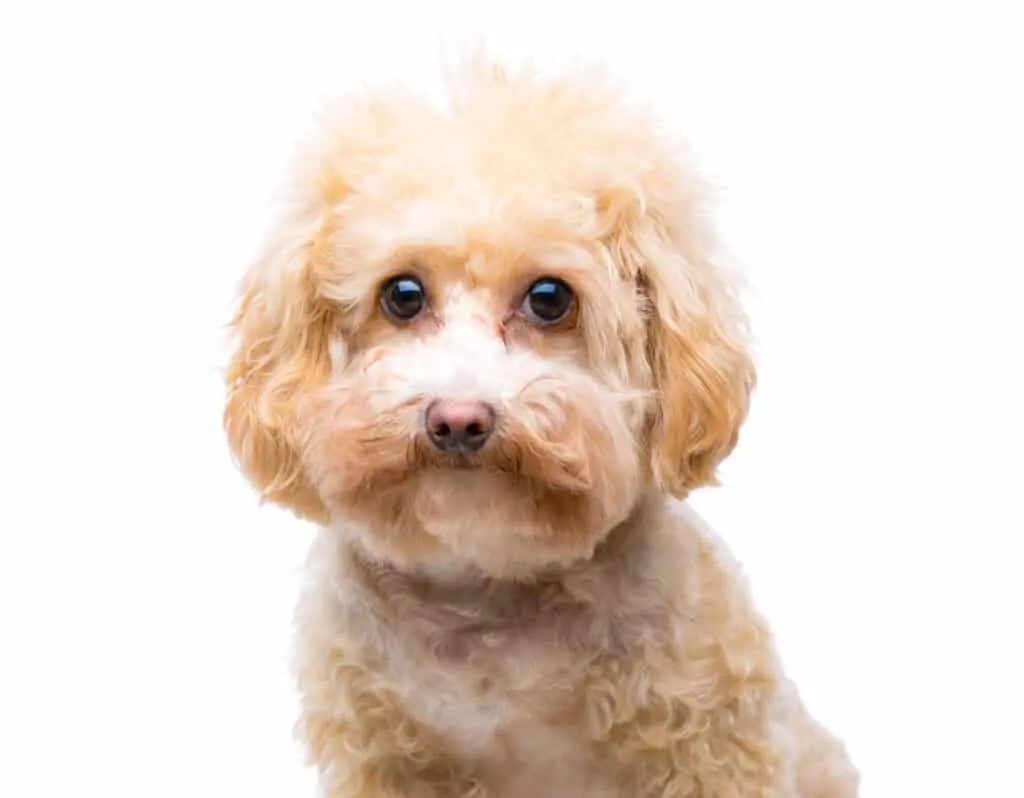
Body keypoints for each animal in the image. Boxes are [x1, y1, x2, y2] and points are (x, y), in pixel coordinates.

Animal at [222, 59, 856, 794]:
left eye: (549, 298)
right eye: (402, 295)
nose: (458, 419)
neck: (488, 590)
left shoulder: (713, 745)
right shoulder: (380, 757)